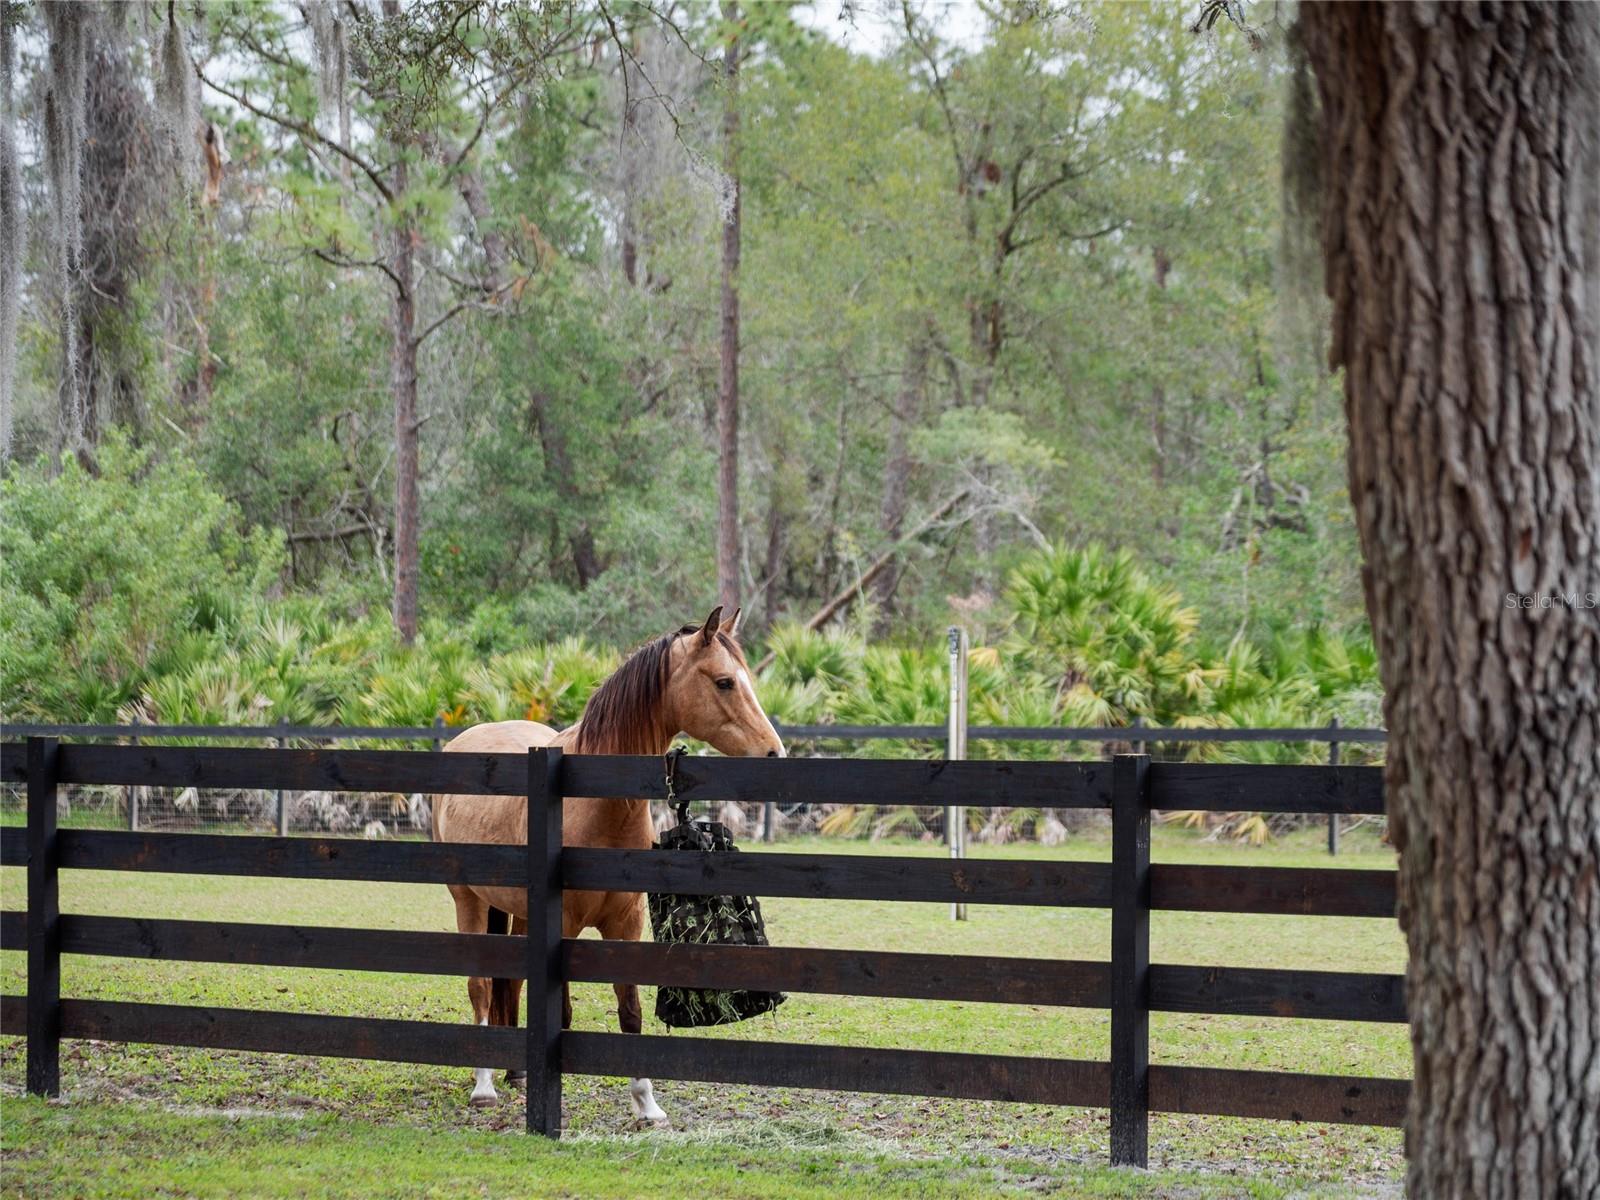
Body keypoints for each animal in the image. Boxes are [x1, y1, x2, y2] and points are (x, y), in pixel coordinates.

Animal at [428, 604, 784, 1126]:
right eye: (723, 682)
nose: (774, 753)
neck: (593, 800)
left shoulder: (625, 923)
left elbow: (629, 1010)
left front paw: (647, 1104)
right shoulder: (564, 927)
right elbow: (561, 1013)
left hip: (516, 912)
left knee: (507, 982)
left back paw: (515, 1072)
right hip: (468, 901)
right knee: (480, 985)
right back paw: (485, 1084)